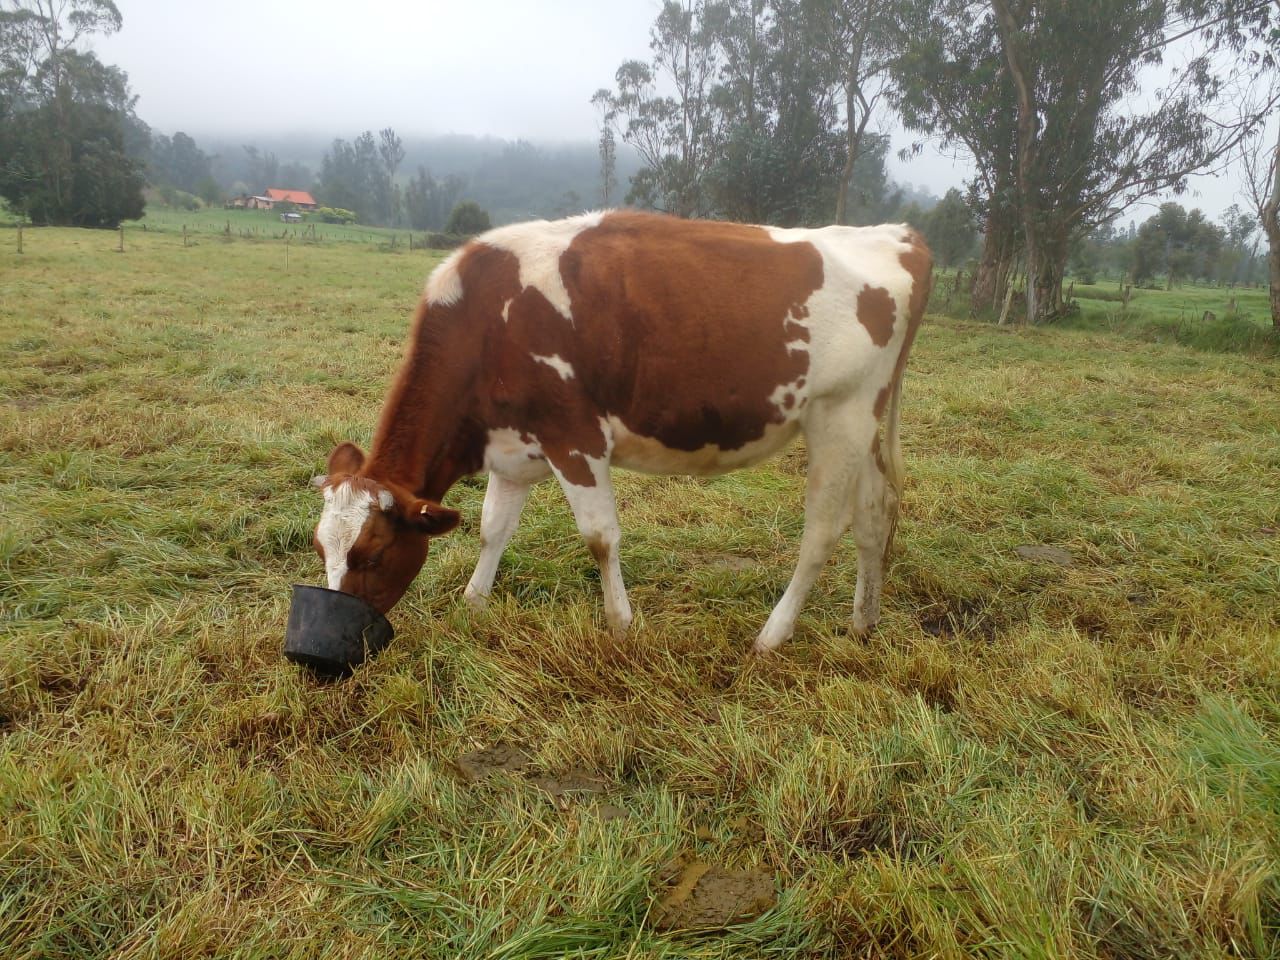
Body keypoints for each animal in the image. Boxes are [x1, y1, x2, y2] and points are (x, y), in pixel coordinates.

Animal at [312, 210, 929, 653]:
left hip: (840, 415)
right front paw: (474, 602)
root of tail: (895, 236)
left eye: (371, 555)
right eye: (321, 547)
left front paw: (620, 625)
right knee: (875, 514)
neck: (488, 323)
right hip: (865, 424)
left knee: (822, 531)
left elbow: (600, 538)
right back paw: (863, 623)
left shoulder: (575, 437)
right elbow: (493, 529)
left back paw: (772, 636)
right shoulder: (513, 448)